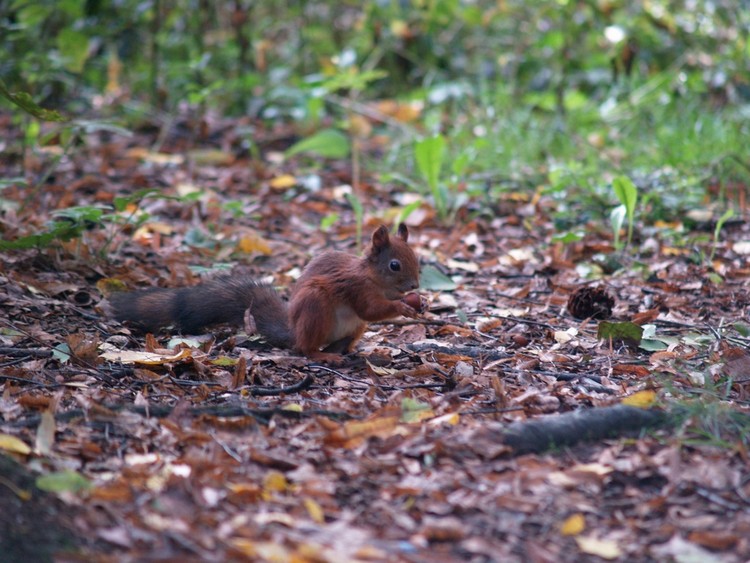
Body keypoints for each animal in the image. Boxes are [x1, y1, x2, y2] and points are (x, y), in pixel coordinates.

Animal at [108, 224, 424, 362]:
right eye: (394, 265)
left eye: (416, 258)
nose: (415, 287)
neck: (374, 279)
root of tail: (294, 330)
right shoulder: (355, 287)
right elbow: (370, 309)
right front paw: (403, 307)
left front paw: (419, 304)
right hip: (315, 307)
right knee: (304, 349)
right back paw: (323, 356)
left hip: (354, 328)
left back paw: (349, 351)